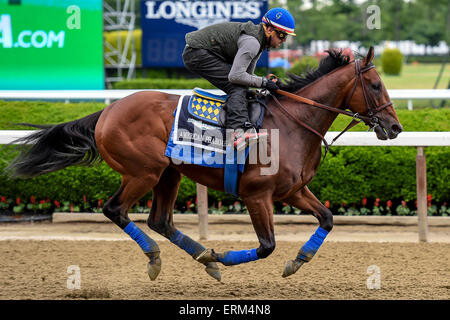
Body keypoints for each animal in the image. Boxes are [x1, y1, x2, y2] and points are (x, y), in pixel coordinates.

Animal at [6, 46, 400, 282]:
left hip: (168, 173)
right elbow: (267, 245)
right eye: (376, 85)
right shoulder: (256, 195)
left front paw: (297, 260)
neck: (293, 123)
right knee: (115, 210)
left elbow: (327, 219)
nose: (395, 127)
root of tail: (107, 110)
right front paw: (223, 256)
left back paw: (203, 258)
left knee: (160, 220)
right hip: (143, 172)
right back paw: (160, 257)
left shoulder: (293, 190)